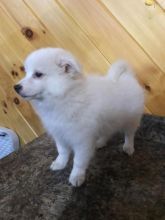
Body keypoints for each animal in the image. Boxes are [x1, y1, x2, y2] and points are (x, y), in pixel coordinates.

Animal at [14, 47, 144, 186]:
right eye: (26, 73)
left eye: (38, 74)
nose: (16, 87)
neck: (65, 97)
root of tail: (127, 77)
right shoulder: (59, 134)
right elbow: (62, 151)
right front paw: (60, 163)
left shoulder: (82, 140)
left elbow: (78, 160)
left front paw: (76, 176)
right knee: (107, 132)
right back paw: (100, 142)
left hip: (131, 119)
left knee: (129, 134)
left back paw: (128, 147)